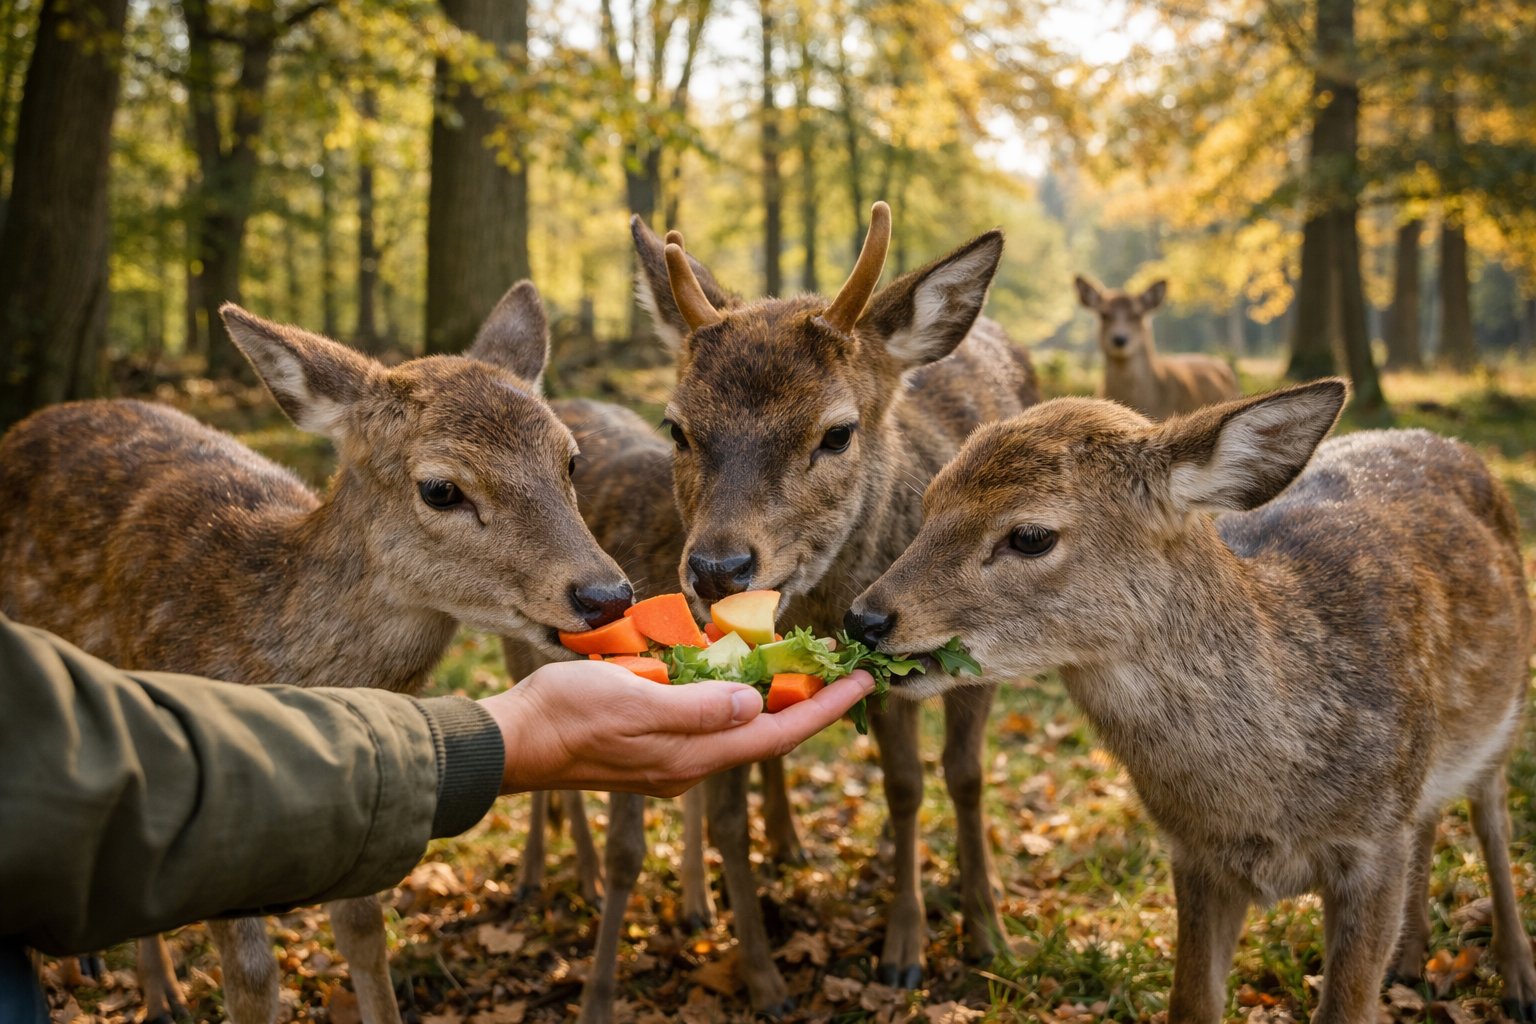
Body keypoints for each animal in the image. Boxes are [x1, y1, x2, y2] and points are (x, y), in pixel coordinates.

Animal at [628, 201, 1040, 1015]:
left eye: (838, 432)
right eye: (677, 428)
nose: (718, 568)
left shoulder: (973, 658)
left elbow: (955, 778)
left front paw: (975, 938)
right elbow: (899, 783)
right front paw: (901, 949)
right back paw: (789, 843)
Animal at [848, 380, 1536, 1024]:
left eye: (1032, 535)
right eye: (929, 504)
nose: (865, 619)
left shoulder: (1375, 844)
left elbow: (1344, 1008)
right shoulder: (1194, 855)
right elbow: (1192, 1003)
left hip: (1507, 715)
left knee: (1493, 822)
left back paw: (1518, 980)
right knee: (1435, 815)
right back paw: (1411, 960)